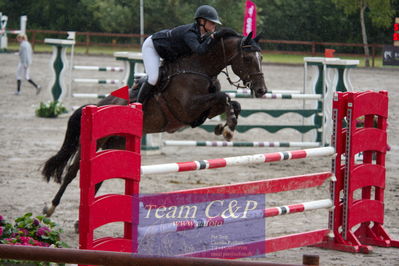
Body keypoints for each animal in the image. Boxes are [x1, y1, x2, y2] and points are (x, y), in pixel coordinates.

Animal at [41, 29, 268, 217]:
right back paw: (50, 207)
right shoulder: (188, 107)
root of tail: (98, 106)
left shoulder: (204, 110)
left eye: (261, 57)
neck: (200, 68)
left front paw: (225, 127)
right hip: (97, 142)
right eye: (248, 58)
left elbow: (233, 103)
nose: (262, 90)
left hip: (116, 144)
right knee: (73, 171)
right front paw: (227, 129)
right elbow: (224, 96)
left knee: (99, 176)